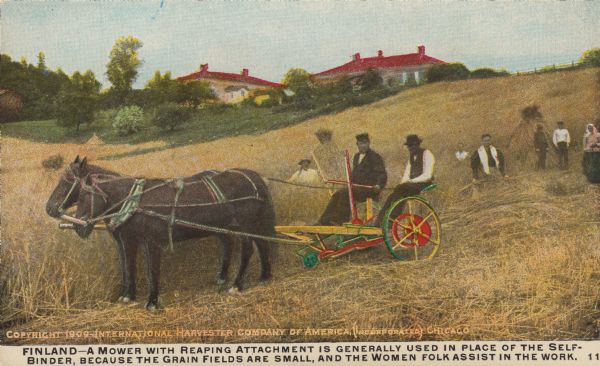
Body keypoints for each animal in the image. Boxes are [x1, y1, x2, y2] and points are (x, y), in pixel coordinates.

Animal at [45, 157, 276, 308]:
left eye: (67, 182)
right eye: (79, 193)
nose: (50, 208)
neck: (132, 200)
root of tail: (253, 177)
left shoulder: (151, 242)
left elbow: (151, 270)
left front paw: (152, 302)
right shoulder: (126, 241)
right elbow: (127, 266)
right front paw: (126, 296)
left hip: (246, 224)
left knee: (249, 249)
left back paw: (237, 285)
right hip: (230, 226)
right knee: (253, 245)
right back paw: (259, 277)